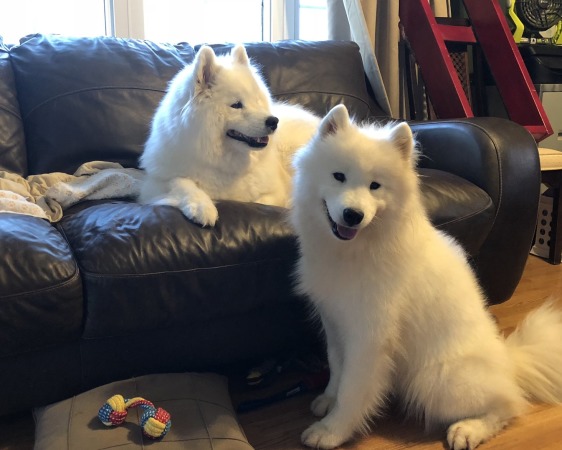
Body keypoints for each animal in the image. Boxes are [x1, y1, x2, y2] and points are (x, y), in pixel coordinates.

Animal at [138, 44, 318, 227]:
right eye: (236, 105)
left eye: (257, 101)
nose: (274, 121)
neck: (223, 161)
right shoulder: (155, 184)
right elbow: (181, 182)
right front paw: (202, 206)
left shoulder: (276, 192)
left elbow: (262, 201)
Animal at [288, 103, 560, 450]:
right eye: (339, 176)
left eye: (375, 186)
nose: (353, 215)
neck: (354, 251)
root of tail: (507, 362)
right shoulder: (334, 321)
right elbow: (337, 368)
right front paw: (327, 399)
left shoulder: (369, 335)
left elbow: (353, 389)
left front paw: (331, 431)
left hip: (436, 380)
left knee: (508, 404)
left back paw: (468, 430)